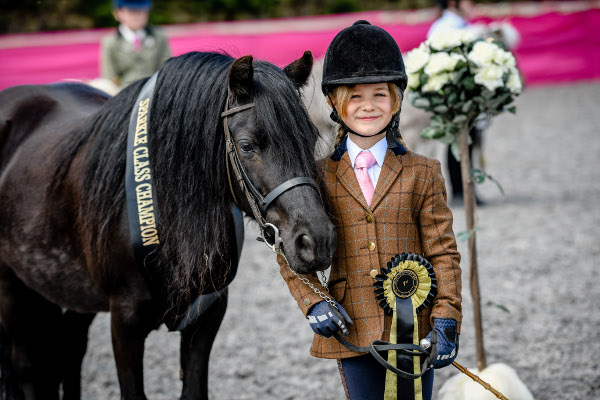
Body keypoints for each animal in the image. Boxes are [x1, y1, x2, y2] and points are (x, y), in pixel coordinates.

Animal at [0, 52, 338, 400]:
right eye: (246, 145)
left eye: (310, 138)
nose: (317, 240)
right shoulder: (125, 321)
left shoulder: (207, 315)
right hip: (12, 288)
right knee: (25, 365)